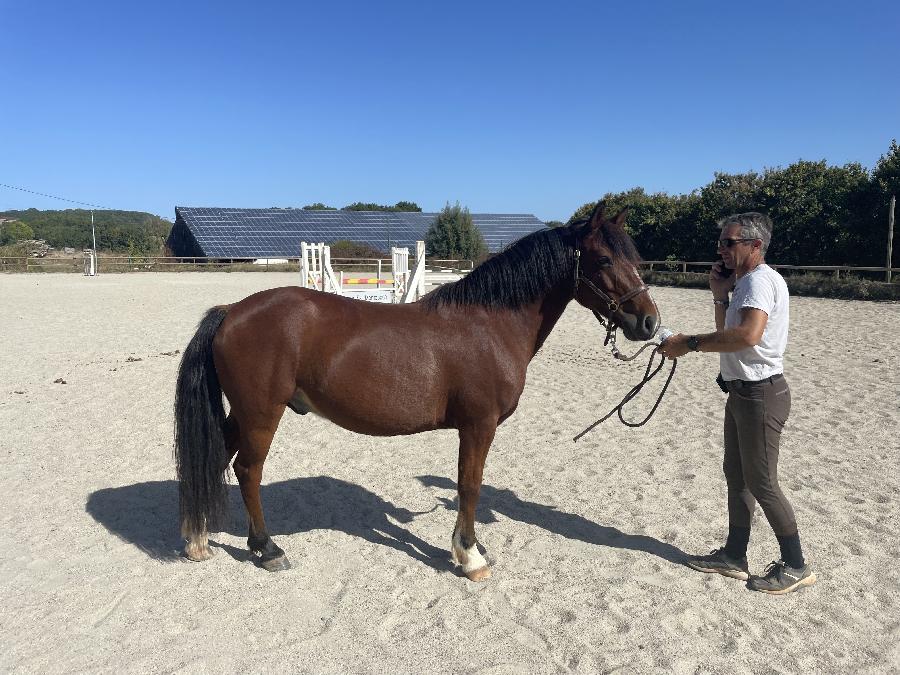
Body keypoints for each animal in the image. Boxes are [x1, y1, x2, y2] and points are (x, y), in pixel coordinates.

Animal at [174, 201, 660, 580]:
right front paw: (470, 556)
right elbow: (470, 486)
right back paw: (268, 549)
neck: (490, 323)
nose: (649, 322)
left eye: (636, 258)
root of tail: (232, 311)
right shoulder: (478, 426)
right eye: (603, 260)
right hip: (262, 413)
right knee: (248, 470)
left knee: (216, 458)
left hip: (241, 413)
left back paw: (197, 539)